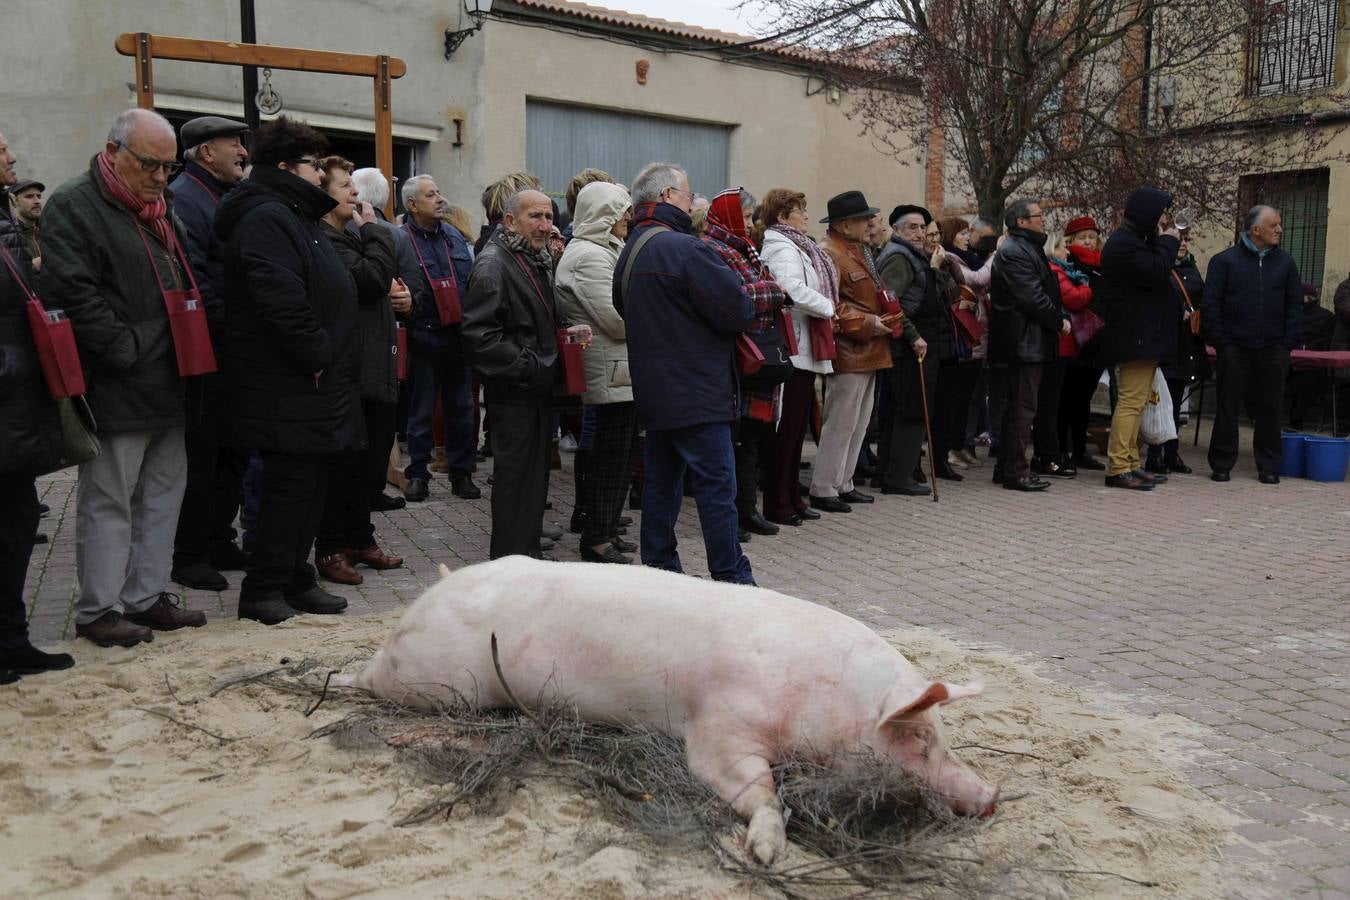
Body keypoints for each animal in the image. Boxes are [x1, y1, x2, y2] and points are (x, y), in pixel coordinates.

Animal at [333, 553, 999, 863]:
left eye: (941, 737)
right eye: (917, 740)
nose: (991, 797)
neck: (825, 697)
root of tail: (441, 583)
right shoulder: (719, 726)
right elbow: (755, 788)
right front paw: (767, 854)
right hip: (433, 680)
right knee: (366, 676)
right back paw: (333, 676)